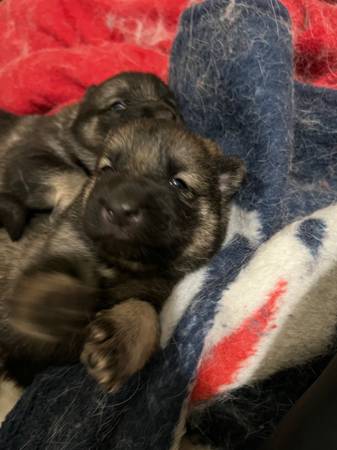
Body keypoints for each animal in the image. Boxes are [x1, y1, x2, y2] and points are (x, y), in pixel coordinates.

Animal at [0, 118, 243, 392]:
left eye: (179, 184)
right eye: (107, 169)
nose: (118, 209)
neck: (119, 265)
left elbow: (146, 310)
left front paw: (125, 335)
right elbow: (55, 274)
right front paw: (56, 303)